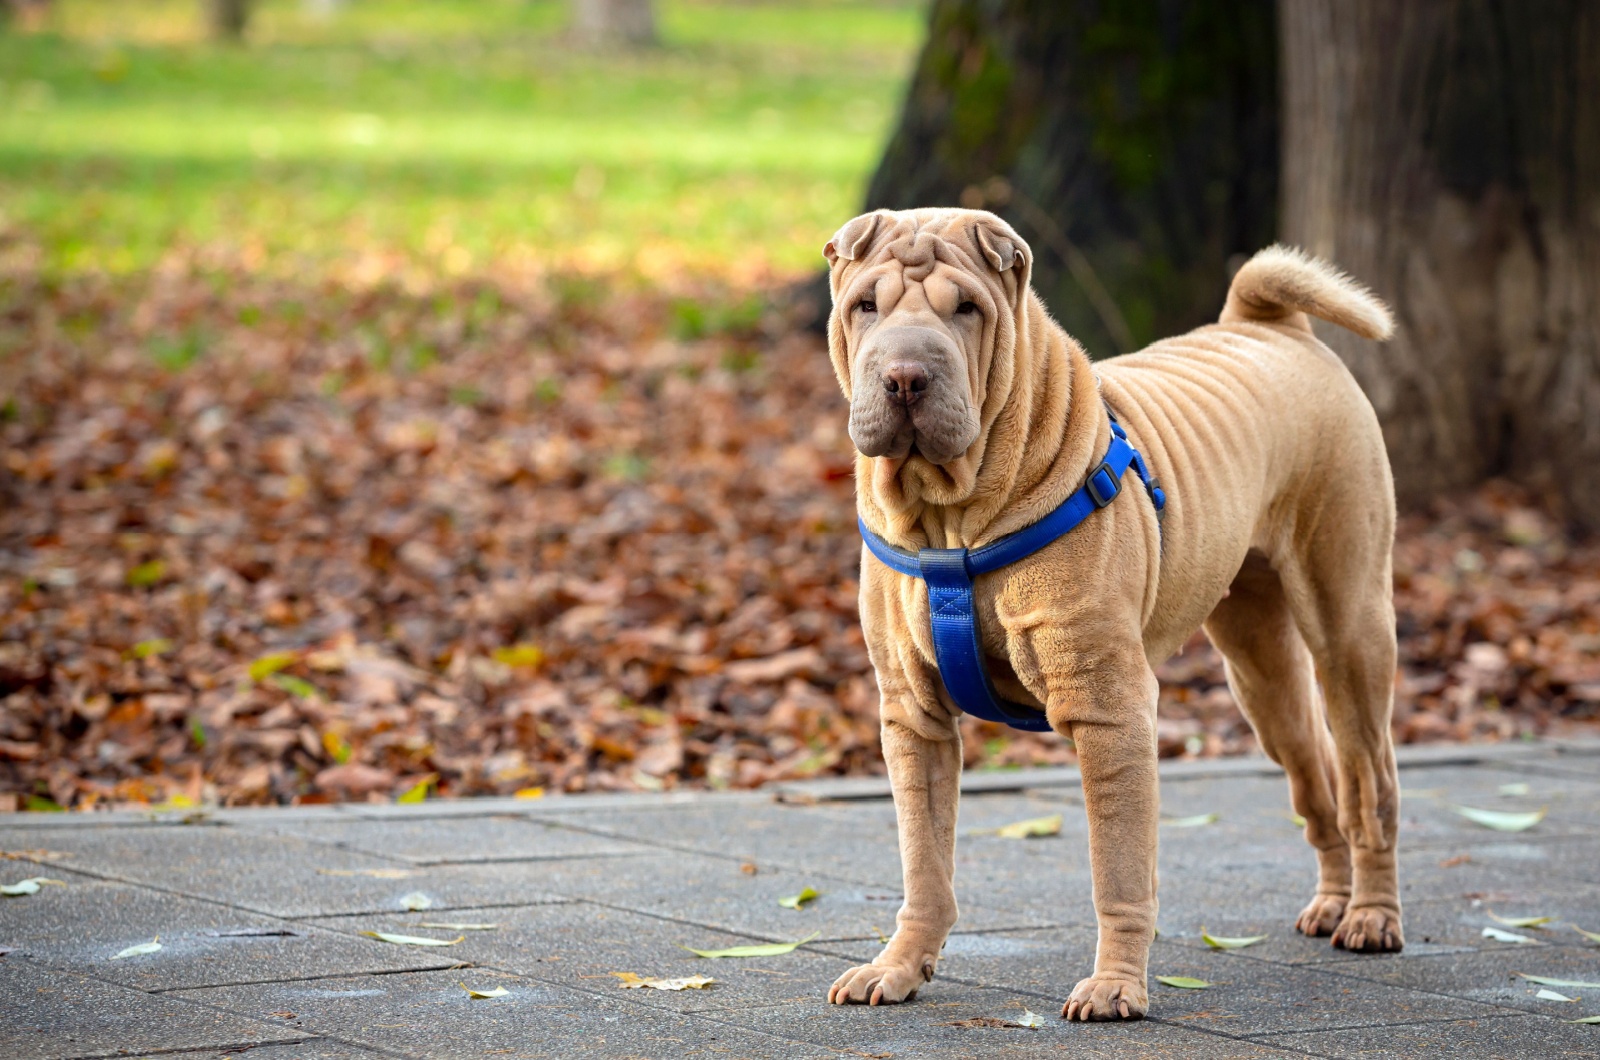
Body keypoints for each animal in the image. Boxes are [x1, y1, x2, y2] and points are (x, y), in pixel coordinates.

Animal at [825, 204, 1401, 1024]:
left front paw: (1115, 986)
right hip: (1261, 673)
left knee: (1370, 779)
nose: (905, 377)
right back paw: (1332, 903)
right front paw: (899, 966)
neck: (951, 520)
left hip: (1348, 625)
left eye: (965, 309)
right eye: (865, 306)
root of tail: (1268, 325)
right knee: (1315, 770)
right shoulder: (914, 718)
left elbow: (1119, 867)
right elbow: (924, 861)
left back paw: (1373, 917)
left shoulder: (1108, 709)